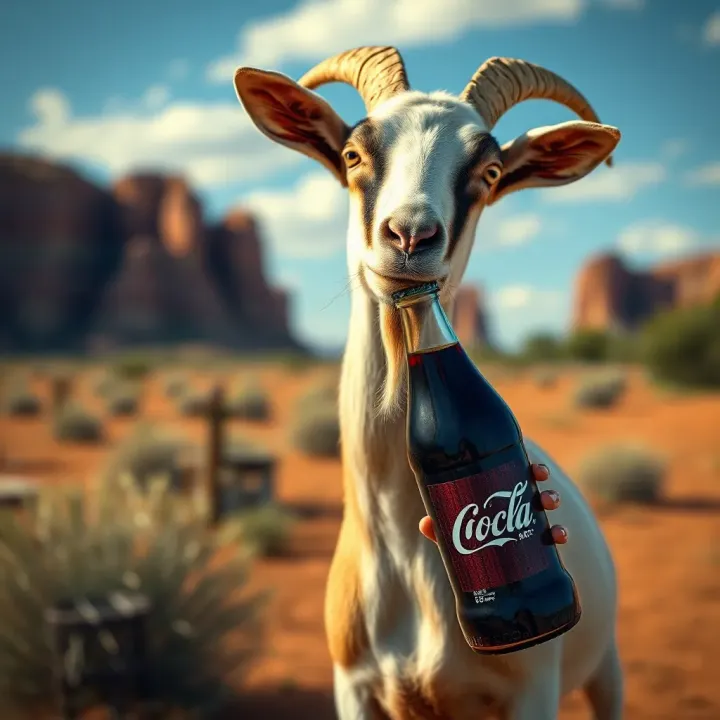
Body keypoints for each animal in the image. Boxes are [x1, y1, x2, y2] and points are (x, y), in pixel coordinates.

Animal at [233, 46, 623, 720]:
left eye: (490, 171)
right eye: (353, 153)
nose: (411, 235)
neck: (406, 563)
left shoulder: (531, 692)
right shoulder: (356, 688)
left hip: (607, 670)